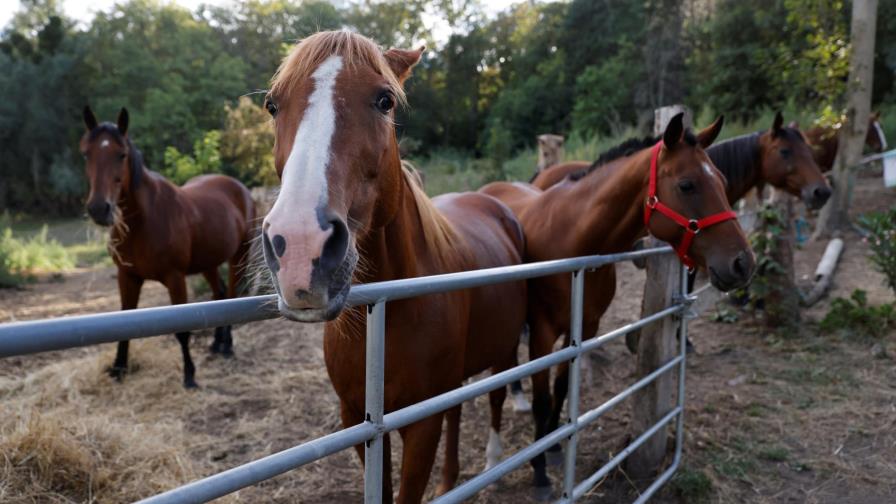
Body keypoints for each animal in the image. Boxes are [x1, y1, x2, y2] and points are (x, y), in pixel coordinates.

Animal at [80, 106, 256, 388]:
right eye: (86, 153)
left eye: (121, 154)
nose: (99, 208)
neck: (143, 222)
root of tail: (239, 187)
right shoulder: (127, 277)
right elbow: (123, 320)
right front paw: (118, 369)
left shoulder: (175, 278)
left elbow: (182, 330)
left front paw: (189, 375)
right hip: (208, 263)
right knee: (218, 294)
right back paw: (217, 344)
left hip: (239, 256)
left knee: (230, 295)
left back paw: (227, 345)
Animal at [258, 31, 527, 503]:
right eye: (273, 105)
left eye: (384, 100)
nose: (299, 247)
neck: (388, 313)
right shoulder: (358, 420)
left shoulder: (421, 425)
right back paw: (450, 479)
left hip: (504, 348)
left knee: (495, 396)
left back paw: (493, 463)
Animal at [480, 113, 755, 498]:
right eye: (687, 185)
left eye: (723, 181)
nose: (743, 263)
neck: (572, 238)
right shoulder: (543, 332)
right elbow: (543, 398)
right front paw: (539, 472)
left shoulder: (583, 327)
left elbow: (562, 389)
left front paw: (553, 445)